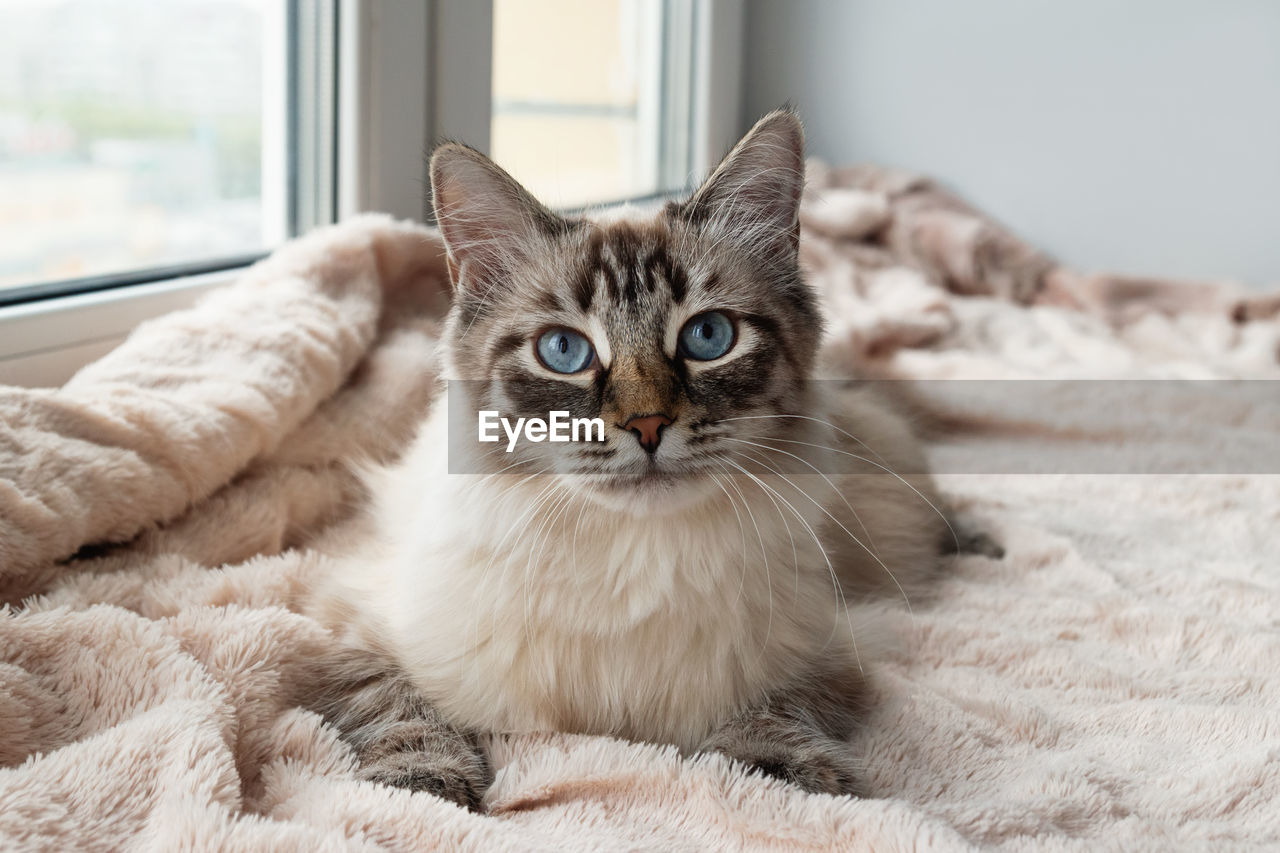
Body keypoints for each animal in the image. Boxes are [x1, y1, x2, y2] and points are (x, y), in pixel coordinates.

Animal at [304, 109, 962, 809]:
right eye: (563, 351)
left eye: (708, 337)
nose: (647, 426)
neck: (631, 553)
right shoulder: (353, 625)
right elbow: (404, 711)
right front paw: (423, 787)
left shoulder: (829, 646)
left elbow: (776, 707)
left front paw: (777, 773)